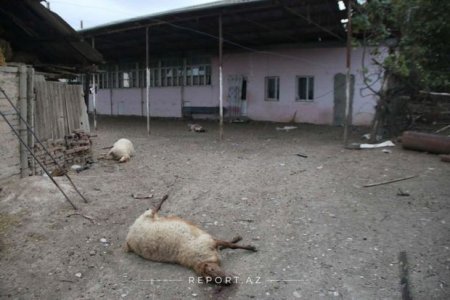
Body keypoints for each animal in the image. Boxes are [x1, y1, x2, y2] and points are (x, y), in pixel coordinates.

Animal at [124, 196, 256, 284]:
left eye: (213, 270)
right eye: (212, 279)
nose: (229, 281)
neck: (199, 257)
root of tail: (129, 236)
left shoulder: (209, 240)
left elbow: (229, 245)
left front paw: (247, 246)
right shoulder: (209, 243)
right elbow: (227, 245)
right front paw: (243, 244)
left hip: (146, 217)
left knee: (154, 209)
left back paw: (165, 197)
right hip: (145, 219)